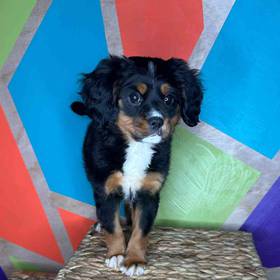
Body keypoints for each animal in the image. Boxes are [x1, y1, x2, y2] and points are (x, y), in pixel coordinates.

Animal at [71, 55, 203, 276]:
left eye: (169, 100)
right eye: (134, 98)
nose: (158, 121)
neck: (136, 147)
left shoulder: (148, 192)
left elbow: (141, 230)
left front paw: (134, 260)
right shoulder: (105, 189)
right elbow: (112, 225)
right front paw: (116, 254)